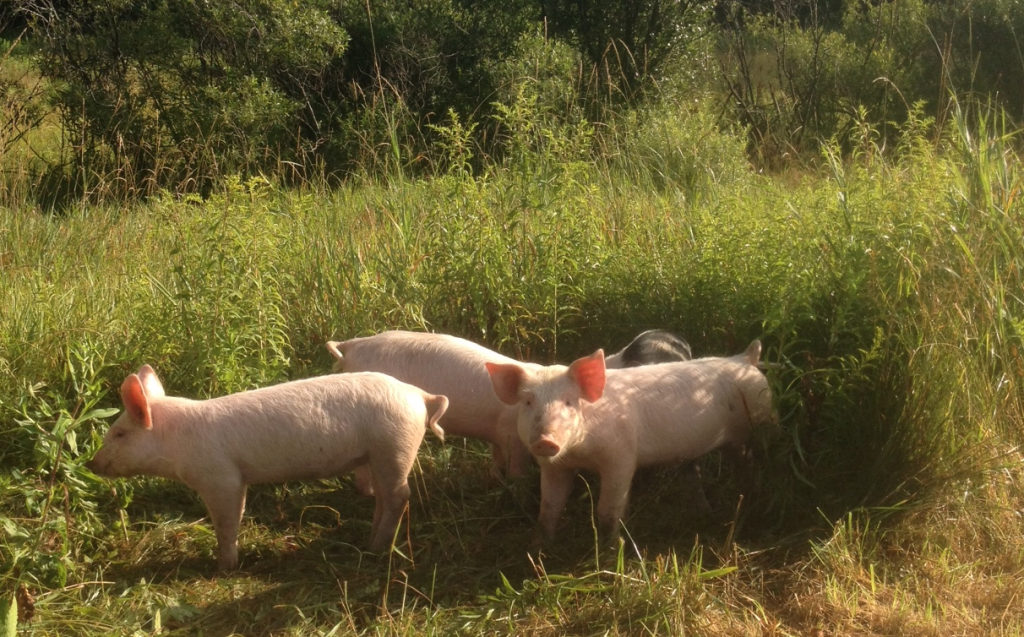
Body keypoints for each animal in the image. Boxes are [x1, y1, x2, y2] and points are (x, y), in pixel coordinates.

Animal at [87, 365, 448, 570]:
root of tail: (419, 394)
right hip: (379, 453)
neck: (177, 442)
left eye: (119, 433)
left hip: (394, 444)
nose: (92, 463)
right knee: (385, 497)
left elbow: (227, 521)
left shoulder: (220, 477)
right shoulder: (237, 478)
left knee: (400, 496)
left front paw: (223, 567)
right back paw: (370, 541)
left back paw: (376, 549)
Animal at [486, 340, 773, 541]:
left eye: (569, 401)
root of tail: (746, 358)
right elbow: (549, 507)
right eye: (528, 402)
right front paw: (538, 548)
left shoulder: (621, 456)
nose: (545, 440)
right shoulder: (556, 466)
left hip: (761, 418)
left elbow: (608, 510)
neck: (580, 454)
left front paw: (611, 549)